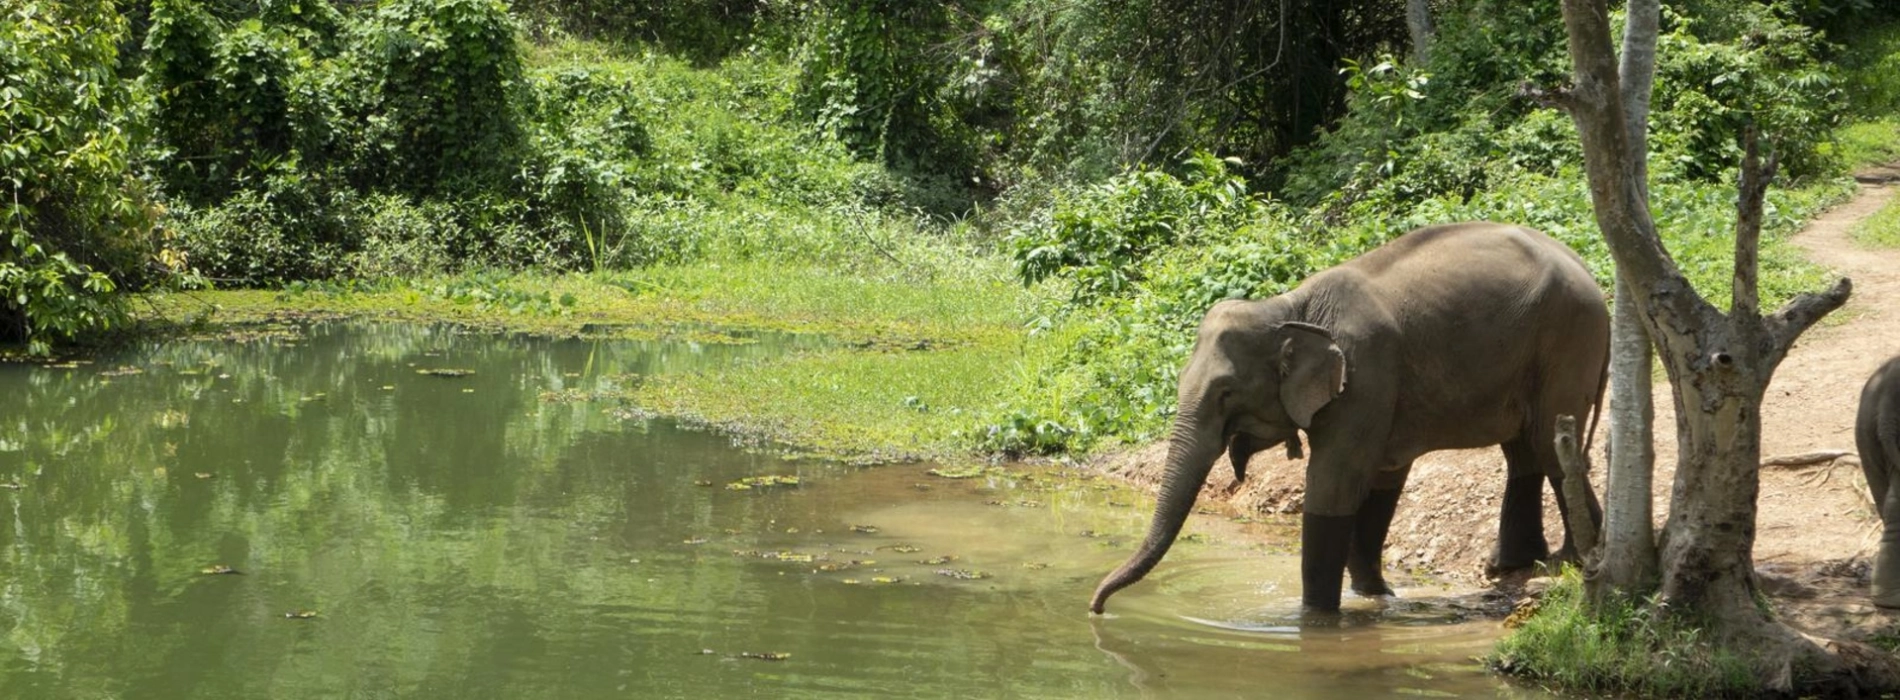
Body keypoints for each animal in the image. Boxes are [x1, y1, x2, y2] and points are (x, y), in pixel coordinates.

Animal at [1094, 222, 1611, 612]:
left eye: (1225, 393)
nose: (1096, 607)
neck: (1289, 306)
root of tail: (1588, 270)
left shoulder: (1367, 372)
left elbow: (1335, 482)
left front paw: (1316, 616)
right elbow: (1382, 477)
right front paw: (1374, 594)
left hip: (1569, 340)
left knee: (1547, 443)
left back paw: (1573, 560)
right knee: (1522, 449)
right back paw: (1510, 566)